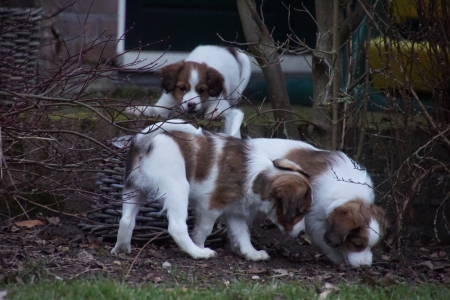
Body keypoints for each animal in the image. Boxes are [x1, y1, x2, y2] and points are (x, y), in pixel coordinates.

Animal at [125, 44, 253, 119]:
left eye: (202, 90)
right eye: (182, 88)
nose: (191, 105)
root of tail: (224, 48)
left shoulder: (220, 100)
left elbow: (219, 107)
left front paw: (213, 113)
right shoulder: (165, 107)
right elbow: (151, 109)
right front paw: (135, 109)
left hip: (233, 92)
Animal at [251, 138, 388, 268]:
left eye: (373, 246)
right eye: (357, 244)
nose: (365, 266)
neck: (353, 195)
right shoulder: (316, 220)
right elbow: (325, 241)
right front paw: (338, 258)